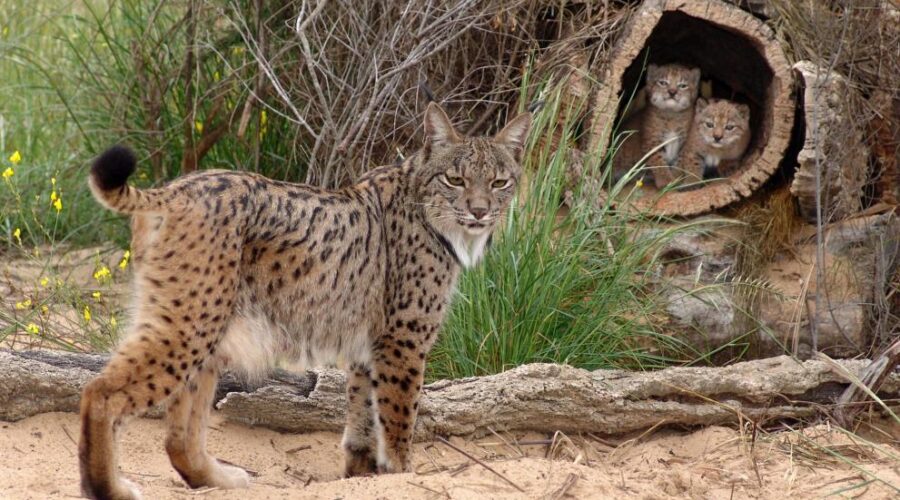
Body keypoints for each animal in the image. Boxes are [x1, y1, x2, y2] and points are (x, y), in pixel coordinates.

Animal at [77, 102, 532, 500]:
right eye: (454, 180)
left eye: (499, 182)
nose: (479, 211)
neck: (428, 205)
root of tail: (175, 187)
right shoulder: (403, 338)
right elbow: (399, 415)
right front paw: (403, 475)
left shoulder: (369, 343)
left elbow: (363, 411)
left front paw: (361, 474)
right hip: (191, 320)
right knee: (99, 390)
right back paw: (107, 489)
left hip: (206, 323)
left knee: (177, 436)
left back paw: (218, 480)